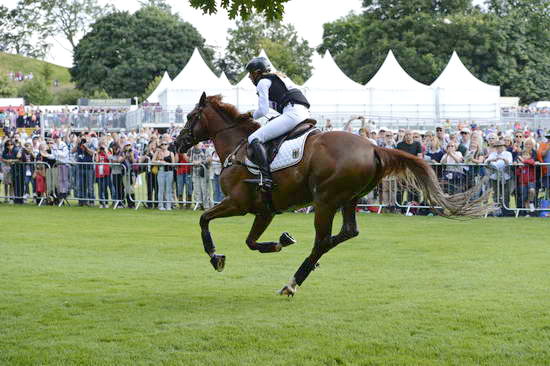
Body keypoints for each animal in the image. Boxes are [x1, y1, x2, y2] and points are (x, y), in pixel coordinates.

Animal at [177, 93, 488, 296]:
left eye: (191, 117)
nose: (176, 144)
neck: (238, 146)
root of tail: (374, 147)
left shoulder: (238, 204)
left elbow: (204, 220)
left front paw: (215, 257)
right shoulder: (265, 210)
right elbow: (251, 242)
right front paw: (280, 241)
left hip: (325, 200)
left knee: (323, 240)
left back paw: (293, 282)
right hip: (348, 198)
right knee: (347, 232)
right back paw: (305, 265)